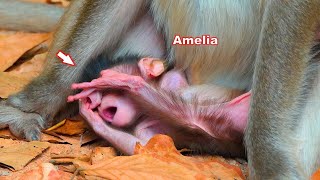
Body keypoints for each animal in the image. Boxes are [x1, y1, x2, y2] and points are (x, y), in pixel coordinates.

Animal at [68, 58, 250, 158]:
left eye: (108, 90)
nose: (98, 104)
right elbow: (144, 148)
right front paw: (89, 113)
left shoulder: (177, 84)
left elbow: (192, 118)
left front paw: (120, 81)